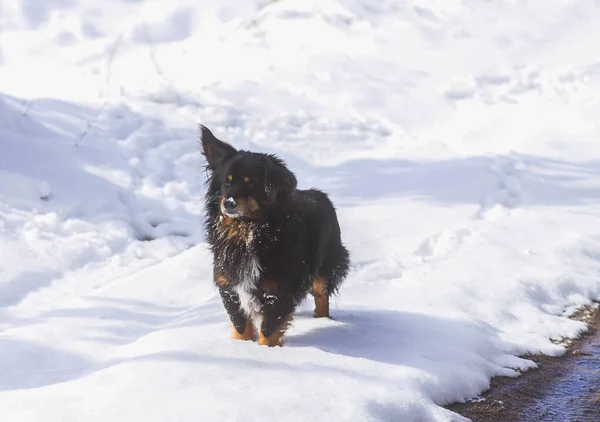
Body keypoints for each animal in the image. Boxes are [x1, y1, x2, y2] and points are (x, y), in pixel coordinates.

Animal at [199, 125, 350, 346]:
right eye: (227, 183)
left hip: (327, 267)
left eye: (251, 183)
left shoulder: (281, 289)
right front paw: (242, 344)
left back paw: (323, 320)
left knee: (322, 295)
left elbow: (269, 328)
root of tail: (319, 194)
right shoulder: (227, 283)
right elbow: (240, 323)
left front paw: (267, 350)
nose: (228, 203)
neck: (248, 232)